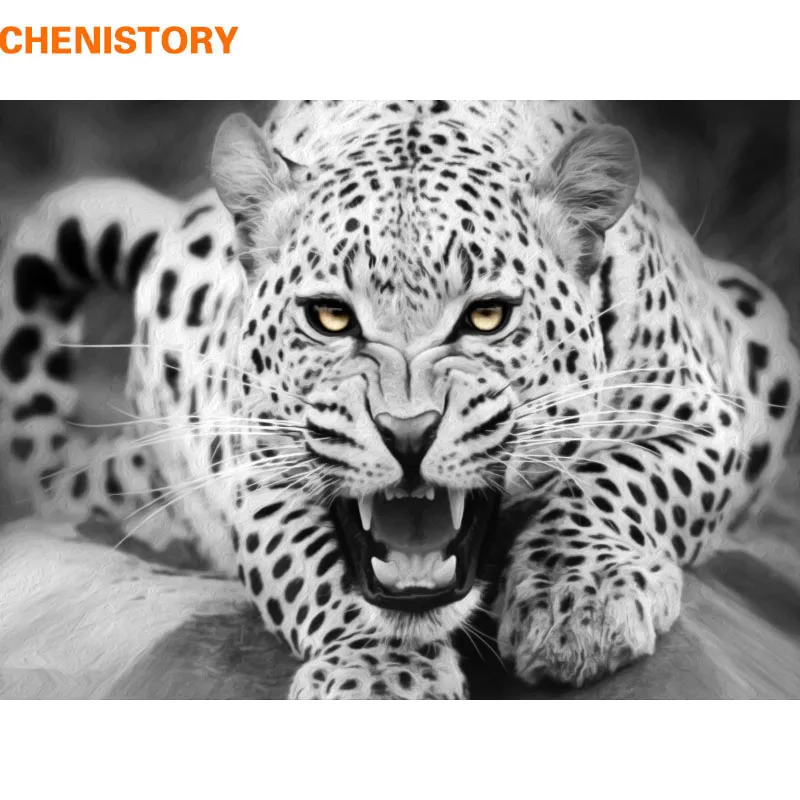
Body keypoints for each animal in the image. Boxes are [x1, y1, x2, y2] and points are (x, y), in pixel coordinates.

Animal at [1, 100, 798, 699]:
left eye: (486, 316)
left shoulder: (702, 412)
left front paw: (579, 603)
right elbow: (318, 571)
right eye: (330, 317)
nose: (407, 433)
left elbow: (620, 481)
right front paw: (381, 677)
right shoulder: (259, 471)